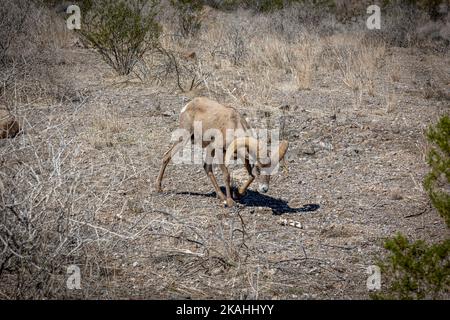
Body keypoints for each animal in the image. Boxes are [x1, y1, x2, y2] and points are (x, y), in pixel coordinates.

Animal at [155, 97, 288, 208]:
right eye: (259, 169)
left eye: (271, 170)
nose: (264, 189)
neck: (234, 125)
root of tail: (187, 106)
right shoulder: (220, 151)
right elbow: (227, 175)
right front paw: (230, 201)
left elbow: (251, 175)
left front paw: (238, 193)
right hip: (185, 138)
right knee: (167, 156)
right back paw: (159, 189)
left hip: (208, 148)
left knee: (207, 167)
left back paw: (221, 197)